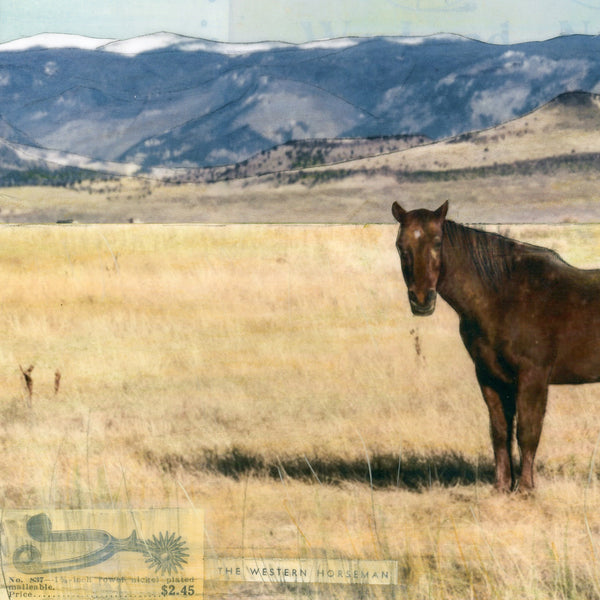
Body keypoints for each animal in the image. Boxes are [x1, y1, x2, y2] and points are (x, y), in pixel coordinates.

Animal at [392, 202, 600, 492]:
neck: (503, 295)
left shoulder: (533, 377)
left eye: (437, 242)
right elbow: (500, 432)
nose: (422, 300)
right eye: (401, 246)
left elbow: (527, 432)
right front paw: (502, 487)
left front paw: (525, 488)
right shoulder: (490, 376)